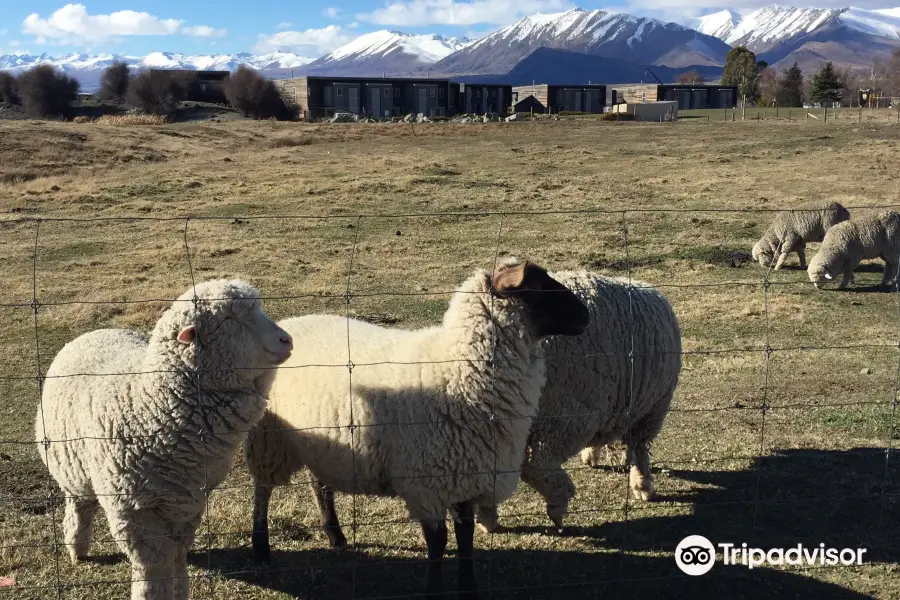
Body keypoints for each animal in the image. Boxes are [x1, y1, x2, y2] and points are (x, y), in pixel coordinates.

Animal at [35, 282, 294, 600]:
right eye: (231, 319)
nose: (287, 340)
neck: (151, 406)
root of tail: (95, 332)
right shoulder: (133, 510)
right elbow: (154, 565)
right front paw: (153, 592)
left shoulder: (187, 501)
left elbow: (177, 555)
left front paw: (180, 589)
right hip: (71, 468)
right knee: (80, 506)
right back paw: (77, 548)